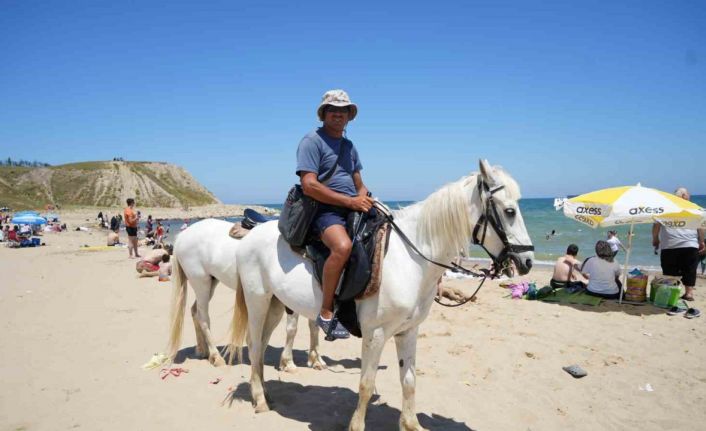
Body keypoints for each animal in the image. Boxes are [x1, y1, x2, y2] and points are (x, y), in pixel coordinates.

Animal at [165, 219, 324, 372]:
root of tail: (182, 236)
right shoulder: (288, 299)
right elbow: (292, 329)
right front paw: (288, 363)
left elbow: (314, 326)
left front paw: (316, 360)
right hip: (200, 283)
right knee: (203, 316)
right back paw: (216, 356)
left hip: (211, 282)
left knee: (194, 311)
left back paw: (203, 350)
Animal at [228, 162, 532, 431]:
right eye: (509, 211)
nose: (527, 261)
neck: (410, 258)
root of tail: (250, 236)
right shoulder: (375, 335)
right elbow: (366, 384)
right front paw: (356, 426)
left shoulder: (408, 331)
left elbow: (409, 381)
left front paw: (411, 425)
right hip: (258, 301)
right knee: (254, 345)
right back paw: (259, 400)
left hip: (276, 305)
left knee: (261, 347)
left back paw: (264, 392)